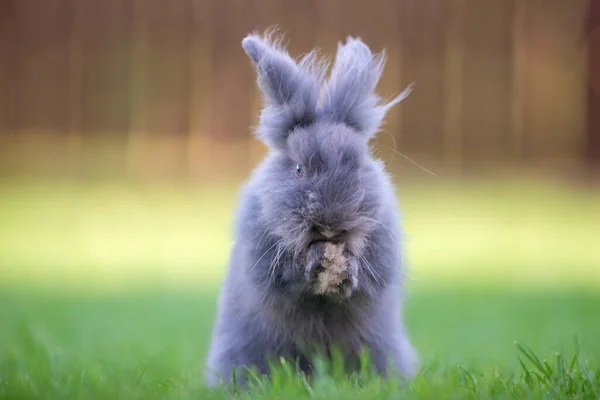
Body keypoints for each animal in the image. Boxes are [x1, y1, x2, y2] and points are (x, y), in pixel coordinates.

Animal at [204, 28, 420, 388]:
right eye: (299, 169)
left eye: (357, 165)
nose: (331, 224)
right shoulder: (263, 258)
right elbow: (287, 276)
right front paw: (319, 262)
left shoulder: (383, 257)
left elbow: (368, 277)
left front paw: (343, 270)